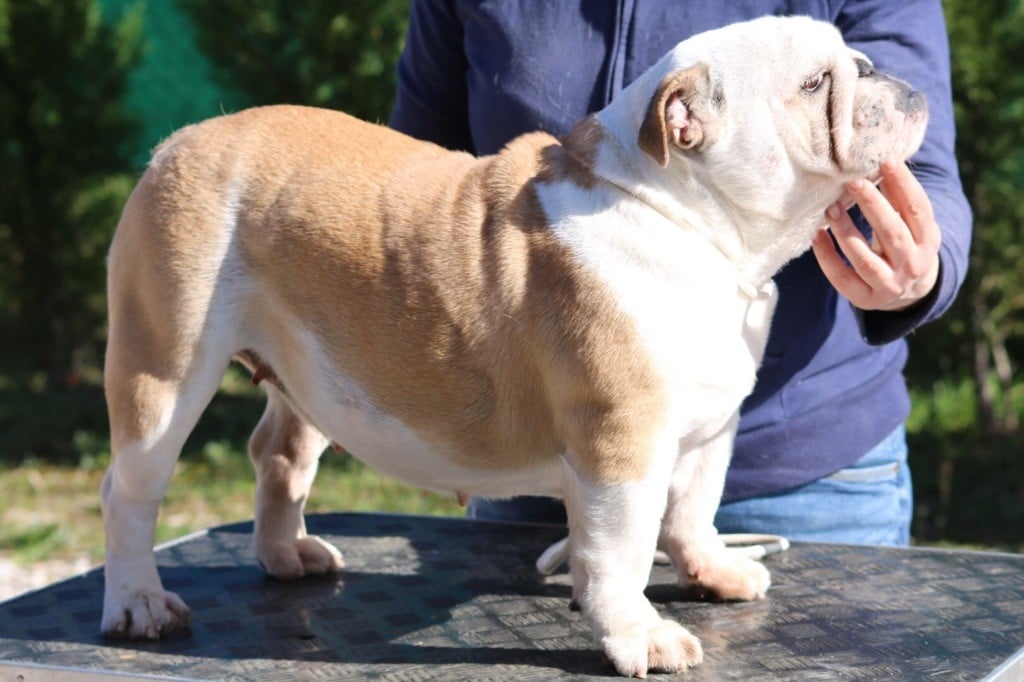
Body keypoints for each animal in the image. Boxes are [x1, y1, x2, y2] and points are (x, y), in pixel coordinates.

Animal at [99, 15, 927, 676]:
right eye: (815, 83)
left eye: (855, 59)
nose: (887, 77)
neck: (688, 222)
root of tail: (179, 143)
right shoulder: (622, 446)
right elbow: (623, 548)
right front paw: (639, 635)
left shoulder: (709, 429)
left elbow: (694, 507)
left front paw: (714, 572)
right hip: (164, 368)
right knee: (131, 490)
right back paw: (139, 603)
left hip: (308, 376)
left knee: (280, 452)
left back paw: (286, 555)